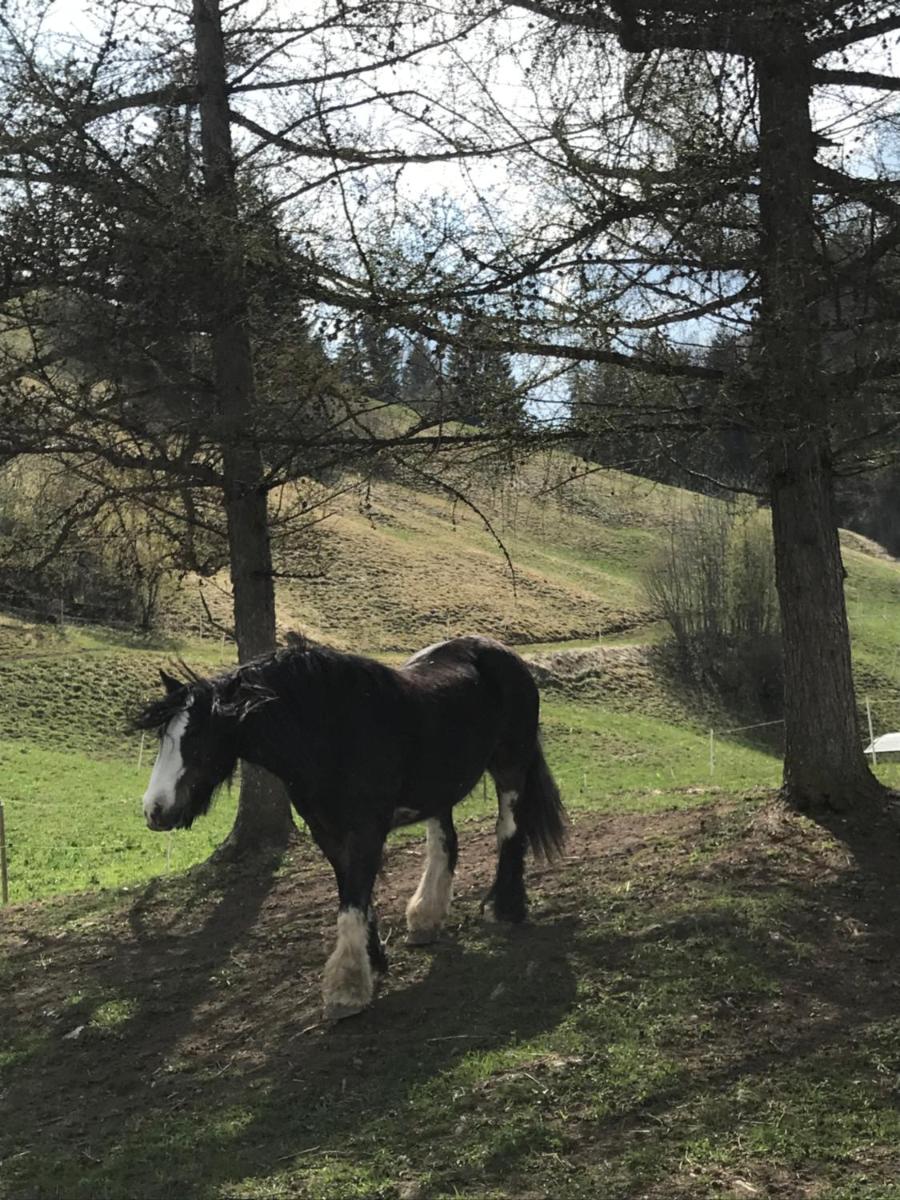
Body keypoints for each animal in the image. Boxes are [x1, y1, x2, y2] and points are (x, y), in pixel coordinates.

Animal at [135, 635, 566, 1021]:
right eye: (162, 738)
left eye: (198, 740)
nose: (155, 811)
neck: (328, 733)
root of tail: (503, 654)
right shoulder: (328, 832)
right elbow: (355, 894)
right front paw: (373, 962)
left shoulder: (365, 831)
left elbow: (353, 900)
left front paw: (347, 990)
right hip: (438, 788)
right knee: (444, 844)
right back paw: (425, 918)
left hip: (511, 767)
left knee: (509, 830)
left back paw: (504, 908)